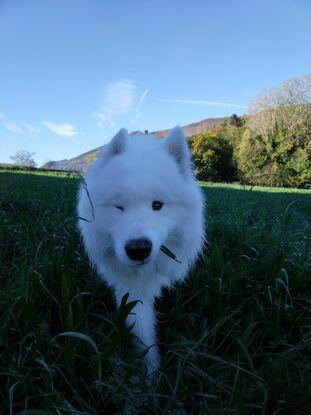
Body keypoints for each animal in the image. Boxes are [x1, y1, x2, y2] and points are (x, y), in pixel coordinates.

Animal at [77, 126, 205, 374]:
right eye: (119, 207)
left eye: (157, 205)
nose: (138, 249)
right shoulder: (132, 289)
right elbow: (143, 335)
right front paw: (151, 375)